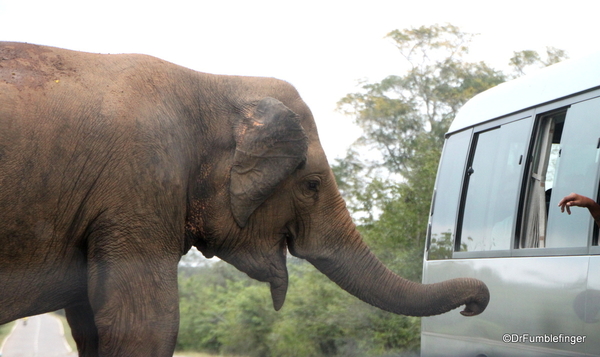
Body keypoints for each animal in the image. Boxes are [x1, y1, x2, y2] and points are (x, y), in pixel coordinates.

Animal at [0, 42, 488, 356]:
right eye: (311, 185)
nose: (475, 304)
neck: (213, 82)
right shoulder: (141, 185)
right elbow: (144, 327)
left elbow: (92, 326)